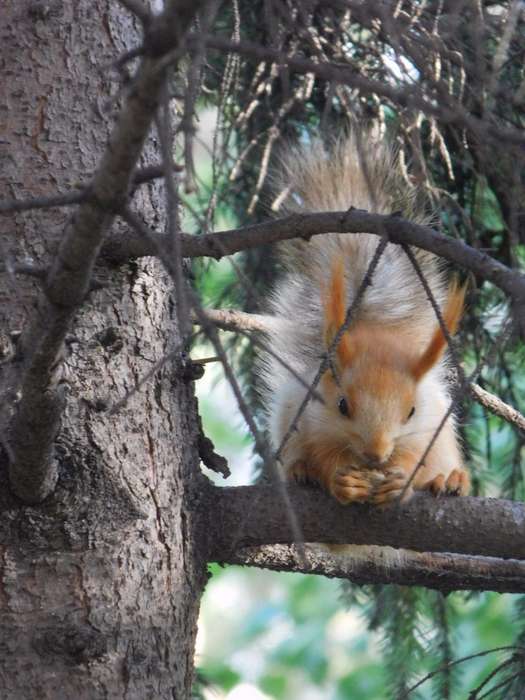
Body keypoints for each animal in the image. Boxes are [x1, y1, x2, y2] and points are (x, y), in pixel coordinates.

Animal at [260, 133, 468, 504]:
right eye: (342, 406)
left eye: (411, 411)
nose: (376, 454)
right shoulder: (312, 418)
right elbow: (323, 453)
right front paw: (341, 480)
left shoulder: (428, 425)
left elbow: (416, 454)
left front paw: (402, 481)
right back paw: (300, 472)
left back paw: (449, 480)